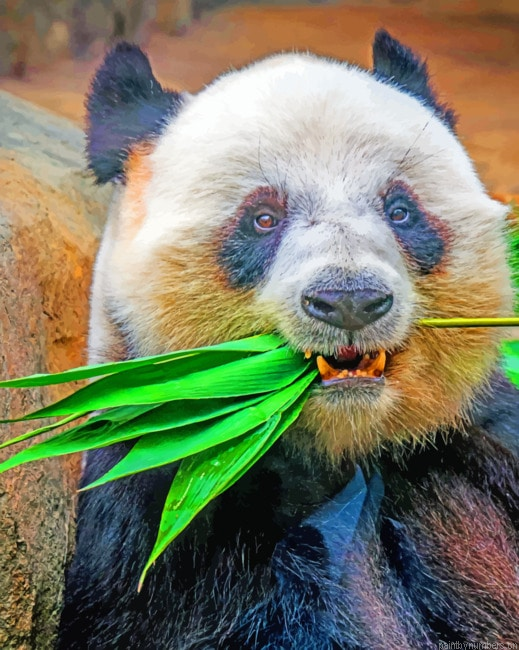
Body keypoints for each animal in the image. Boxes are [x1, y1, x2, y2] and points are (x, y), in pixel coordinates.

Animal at [58, 31, 519, 649]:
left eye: (400, 210)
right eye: (262, 218)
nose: (349, 299)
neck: (337, 444)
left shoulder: (478, 440)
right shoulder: (165, 514)